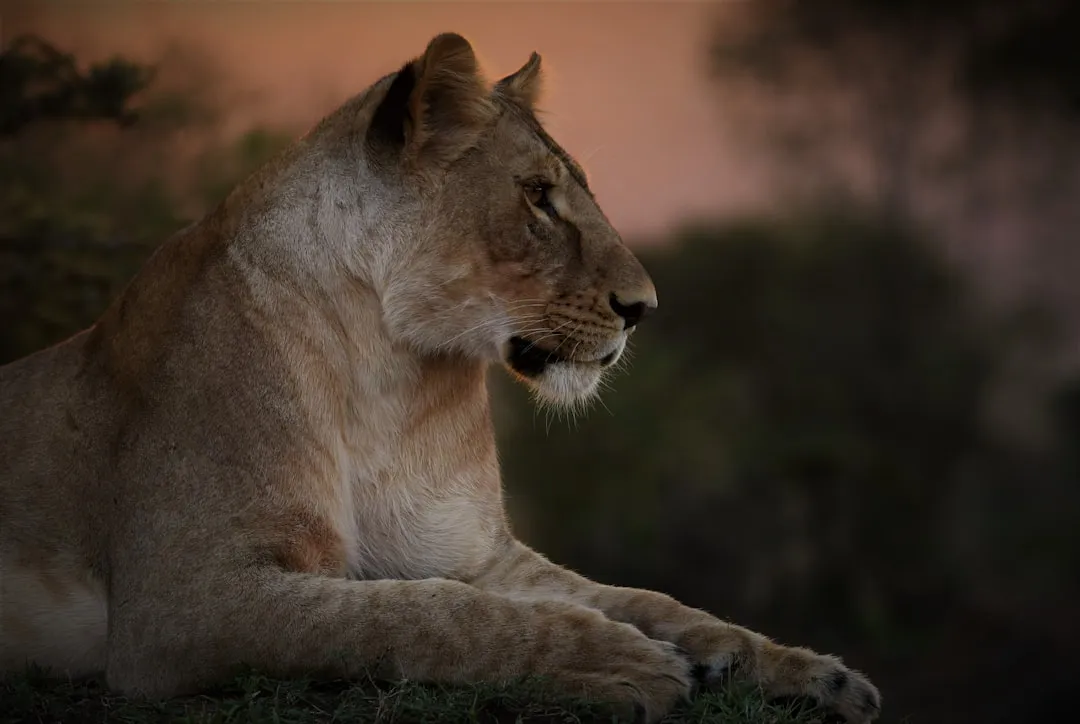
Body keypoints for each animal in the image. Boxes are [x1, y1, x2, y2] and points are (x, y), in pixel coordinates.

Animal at [0, 33, 880, 723]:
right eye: (538, 197)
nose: (644, 309)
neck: (389, 371)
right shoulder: (180, 603)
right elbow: (424, 618)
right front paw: (620, 662)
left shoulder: (475, 554)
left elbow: (649, 602)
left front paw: (811, 673)